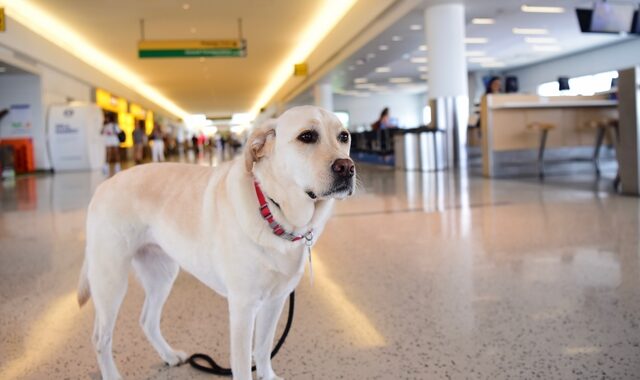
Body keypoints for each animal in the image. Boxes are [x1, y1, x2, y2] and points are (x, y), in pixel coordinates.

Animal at [77, 104, 356, 380]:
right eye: (306, 136)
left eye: (344, 136)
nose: (347, 167)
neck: (276, 213)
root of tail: (102, 187)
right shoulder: (243, 308)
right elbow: (242, 365)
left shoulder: (275, 301)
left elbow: (263, 349)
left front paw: (267, 374)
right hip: (111, 282)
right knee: (100, 338)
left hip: (162, 275)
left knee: (147, 321)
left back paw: (169, 355)